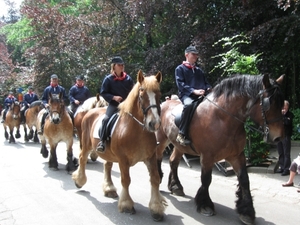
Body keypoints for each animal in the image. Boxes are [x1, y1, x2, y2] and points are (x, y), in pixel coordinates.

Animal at [72, 71, 168, 221]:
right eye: (142, 95)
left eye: (159, 94)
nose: (154, 124)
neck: (136, 129)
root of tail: (90, 112)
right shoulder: (123, 160)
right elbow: (126, 180)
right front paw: (126, 204)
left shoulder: (151, 157)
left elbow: (155, 179)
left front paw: (156, 207)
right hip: (87, 144)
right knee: (82, 158)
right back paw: (79, 180)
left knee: (107, 165)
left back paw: (109, 189)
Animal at [156, 74, 284, 225]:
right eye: (269, 103)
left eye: (282, 103)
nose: (278, 137)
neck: (222, 118)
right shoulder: (207, 157)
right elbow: (206, 179)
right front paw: (205, 205)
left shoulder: (237, 156)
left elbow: (244, 180)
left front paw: (246, 212)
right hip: (161, 141)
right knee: (158, 158)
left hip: (179, 146)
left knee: (173, 162)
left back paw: (176, 187)